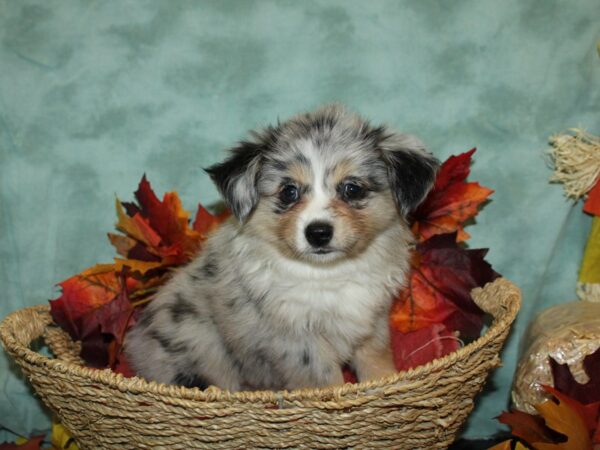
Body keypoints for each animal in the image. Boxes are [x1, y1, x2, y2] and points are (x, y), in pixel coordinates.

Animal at [124, 104, 438, 390]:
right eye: (289, 192)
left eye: (352, 189)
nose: (318, 233)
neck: (328, 274)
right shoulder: (299, 343)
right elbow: (327, 383)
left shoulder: (373, 324)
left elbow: (377, 365)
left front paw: (386, 389)